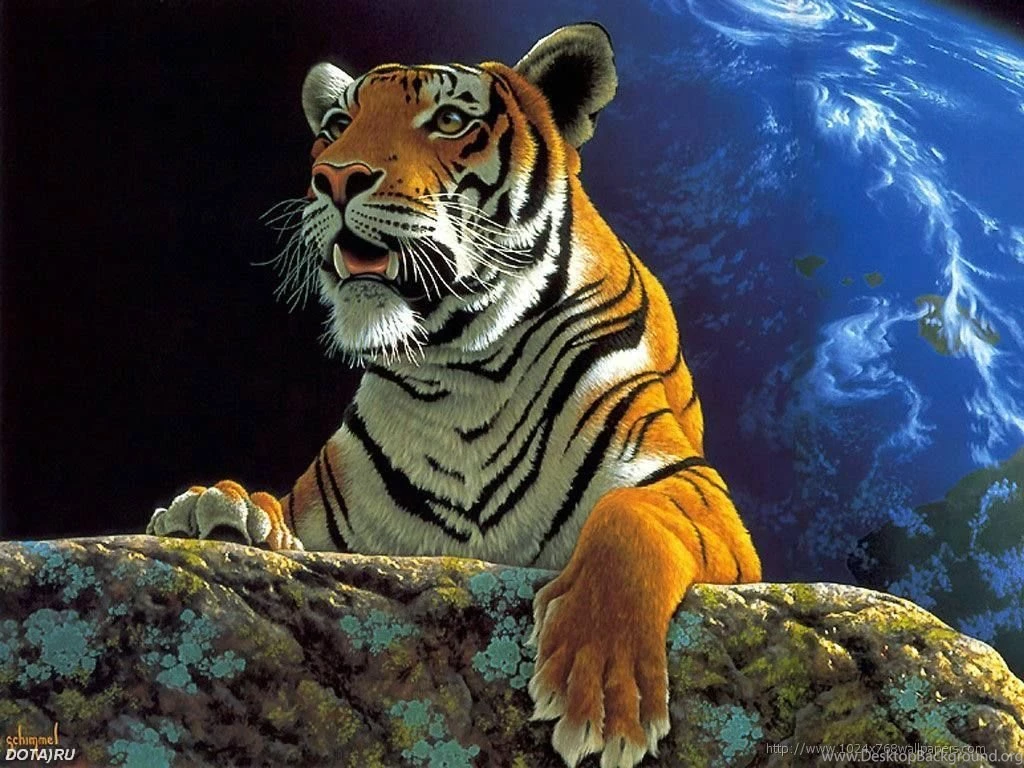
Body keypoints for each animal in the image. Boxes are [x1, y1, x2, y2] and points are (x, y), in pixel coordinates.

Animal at [147, 23, 761, 768]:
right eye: (337, 125)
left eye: (447, 121)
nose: (335, 178)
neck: (459, 372)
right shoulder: (331, 520)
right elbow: (274, 505)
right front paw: (212, 509)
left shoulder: (693, 487)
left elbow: (629, 520)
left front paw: (599, 692)